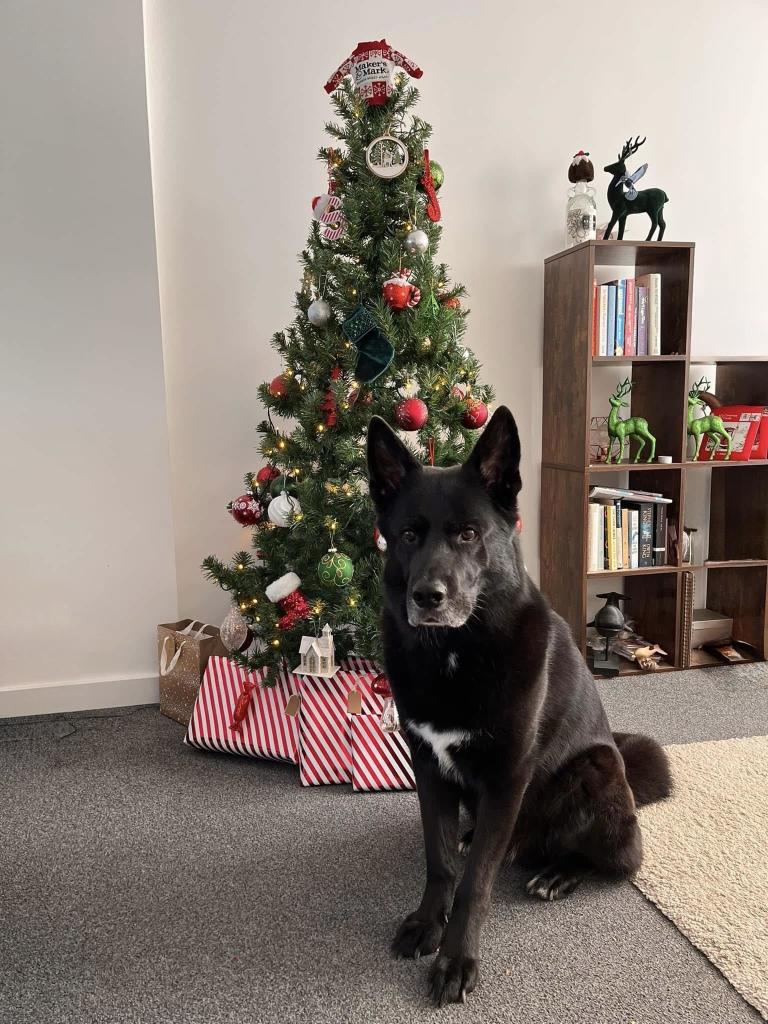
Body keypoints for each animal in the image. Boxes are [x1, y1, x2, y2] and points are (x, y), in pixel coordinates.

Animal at [366, 403, 671, 1003]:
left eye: (468, 534)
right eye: (408, 535)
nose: (427, 598)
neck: (456, 652)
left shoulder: (508, 776)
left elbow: (475, 884)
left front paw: (456, 959)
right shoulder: (427, 767)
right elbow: (440, 861)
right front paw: (427, 922)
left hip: (595, 769)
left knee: (618, 860)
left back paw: (559, 873)